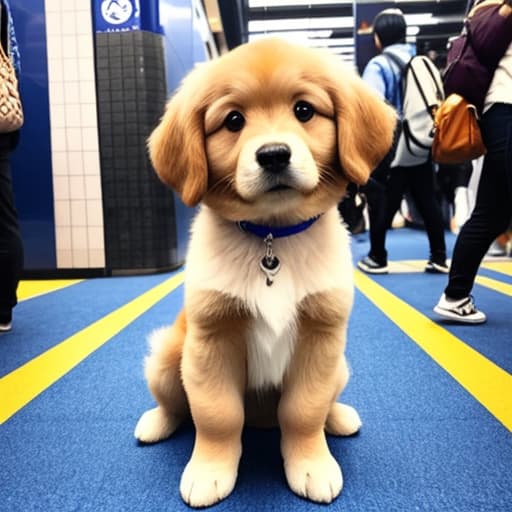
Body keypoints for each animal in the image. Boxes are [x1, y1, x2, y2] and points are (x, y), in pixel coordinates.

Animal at [133, 38, 396, 506]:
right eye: (234, 120)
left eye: (304, 110)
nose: (273, 155)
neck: (272, 236)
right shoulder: (211, 339)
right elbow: (217, 415)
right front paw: (209, 470)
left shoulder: (321, 337)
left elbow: (304, 410)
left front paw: (311, 463)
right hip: (167, 354)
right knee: (176, 405)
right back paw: (156, 422)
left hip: (340, 366)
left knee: (323, 404)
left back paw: (339, 417)